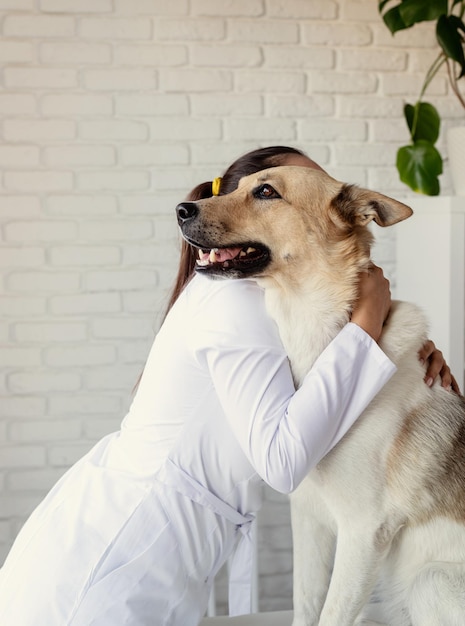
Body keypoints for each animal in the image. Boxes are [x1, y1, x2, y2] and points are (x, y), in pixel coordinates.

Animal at [176, 166, 464, 624]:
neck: (319, 337)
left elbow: (331, 613)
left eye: (266, 192)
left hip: (430, 582)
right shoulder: (308, 517)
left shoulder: (363, 530)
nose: (181, 209)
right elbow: (307, 604)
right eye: (236, 188)